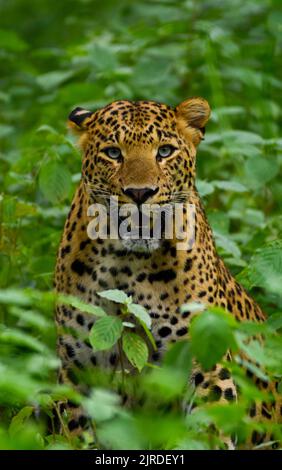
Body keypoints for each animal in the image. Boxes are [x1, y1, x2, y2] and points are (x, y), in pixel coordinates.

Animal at [54, 96, 280, 448]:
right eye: (113, 153)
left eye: (164, 151)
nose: (140, 193)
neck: (127, 264)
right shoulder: (80, 368)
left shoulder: (206, 364)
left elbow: (208, 429)